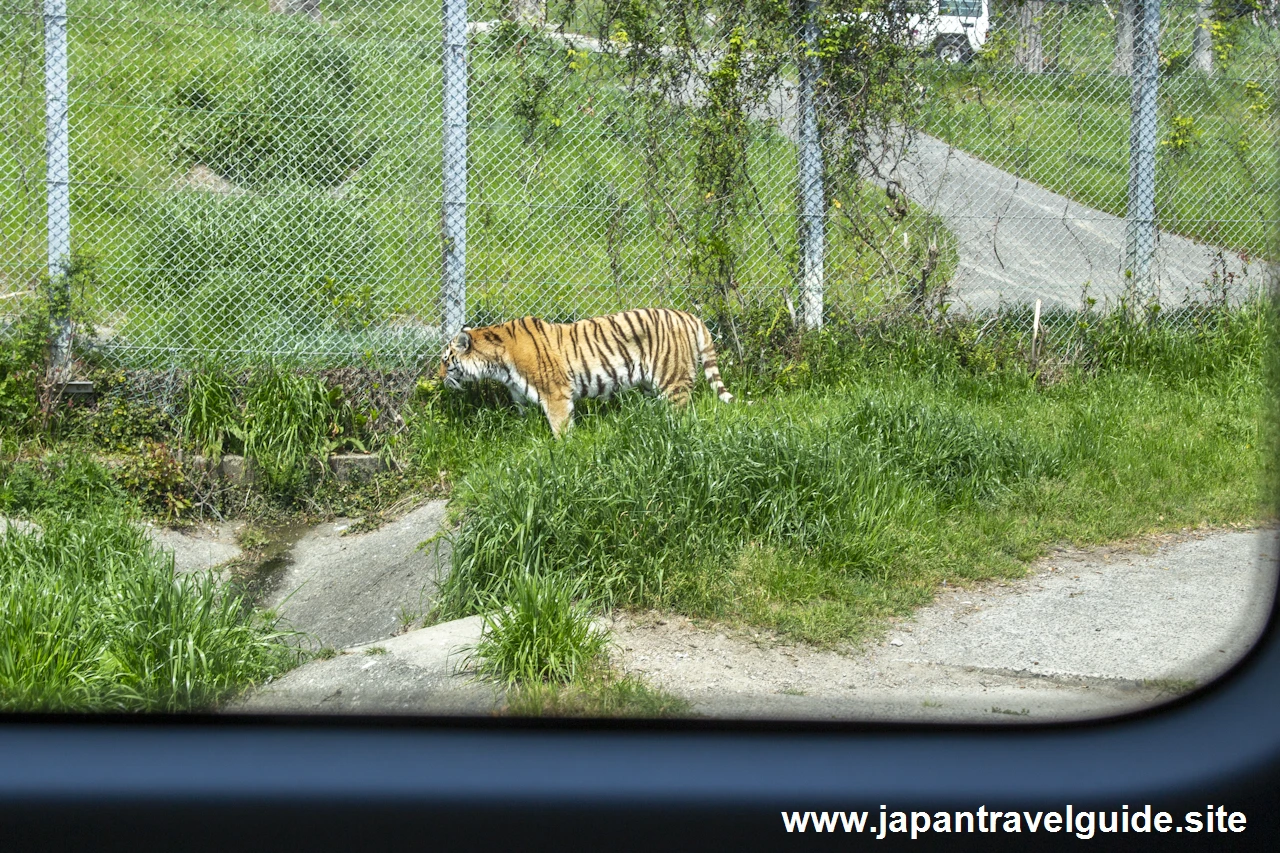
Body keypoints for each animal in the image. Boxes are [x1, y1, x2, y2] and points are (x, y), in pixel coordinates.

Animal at [440, 307, 737, 438]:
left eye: (445, 360)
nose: (439, 377)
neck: (498, 366)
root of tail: (688, 315)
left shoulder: (556, 395)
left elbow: (561, 427)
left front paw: (563, 452)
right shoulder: (519, 395)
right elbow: (522, 417)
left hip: (673, 380)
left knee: (682, 415)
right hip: (652, 385)